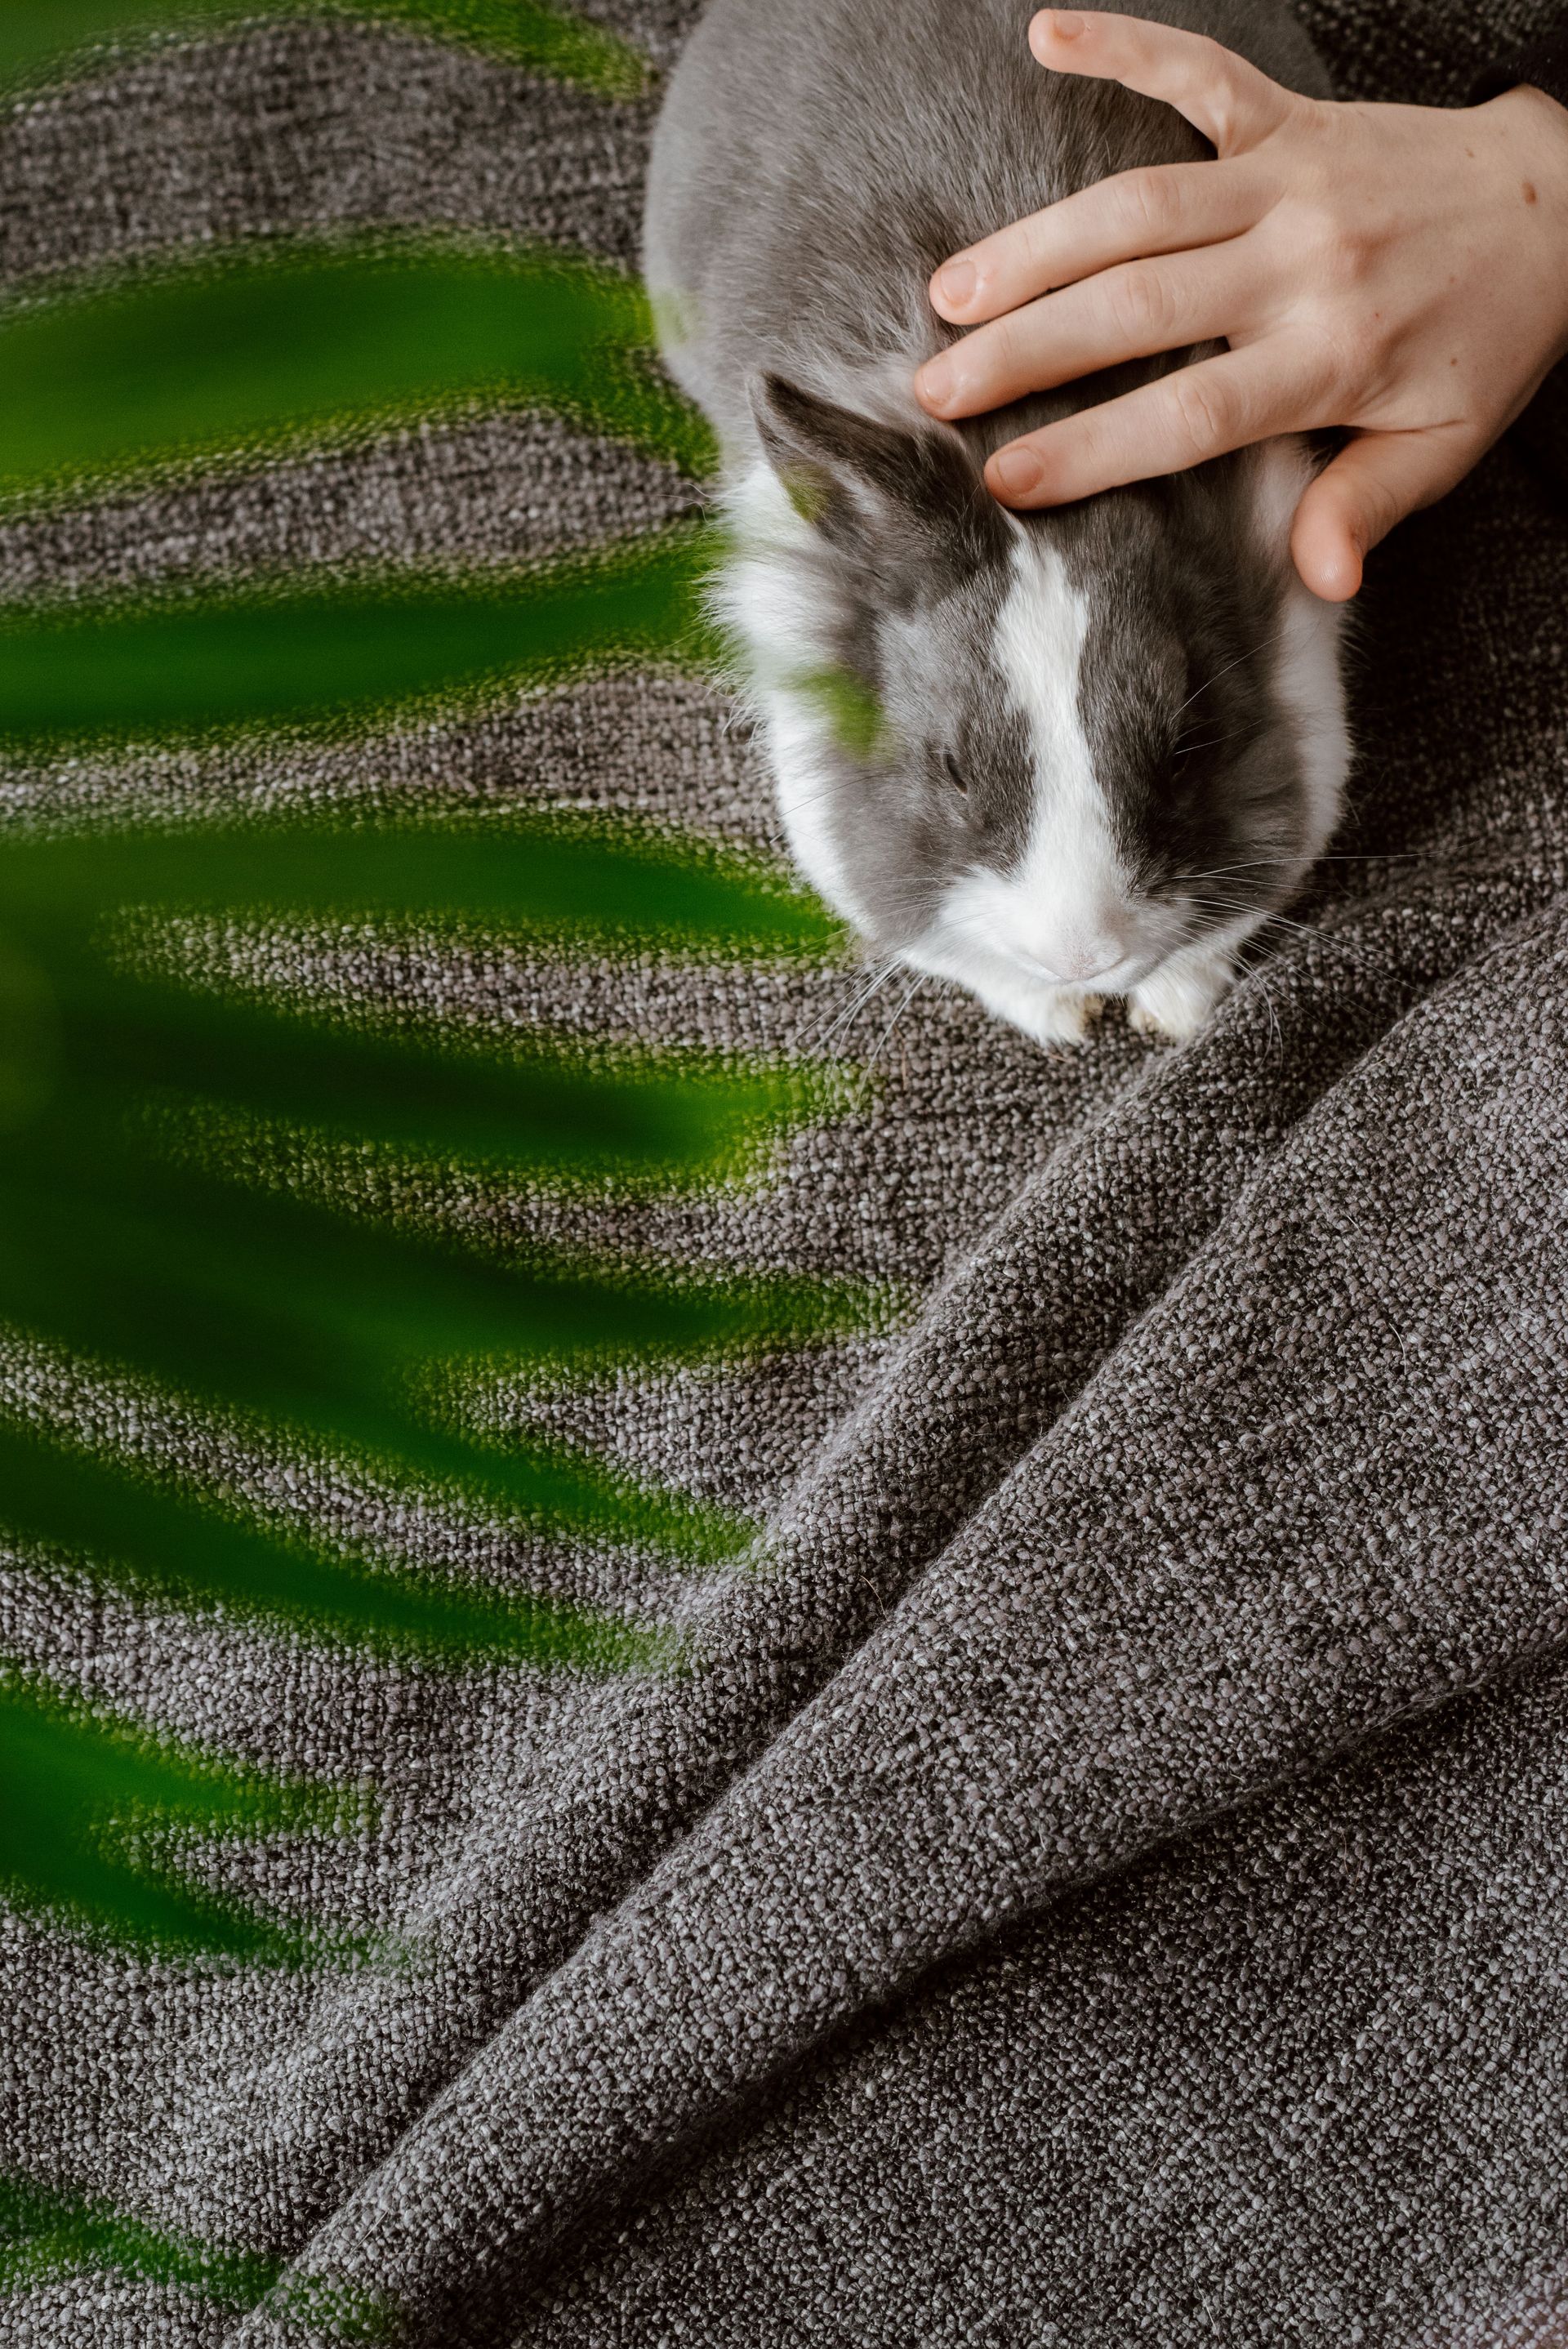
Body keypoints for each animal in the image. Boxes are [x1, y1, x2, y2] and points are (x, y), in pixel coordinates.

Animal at [643, 0, 1351, 1044]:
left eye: (1191, 743)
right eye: (949, 766)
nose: (1085, 955)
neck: (1025, 435)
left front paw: (1166, 1009)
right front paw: (1063, 1015)